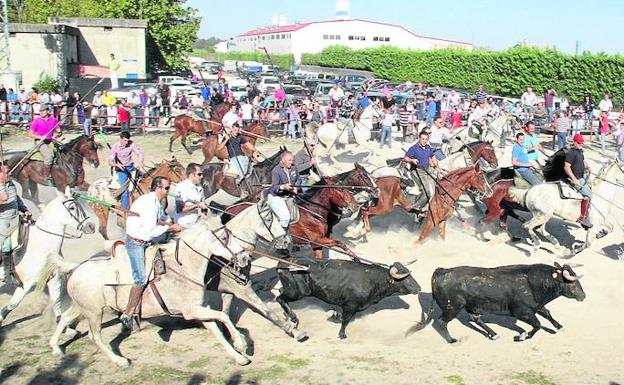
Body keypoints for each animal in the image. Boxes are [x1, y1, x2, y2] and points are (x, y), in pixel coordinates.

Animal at [0, 186, 95, 328]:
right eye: (72, 207)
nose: (91, 226)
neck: (41, 245)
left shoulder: (53, 278)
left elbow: (57, 303)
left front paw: (67, 328)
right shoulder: (25, 284)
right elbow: (12, 305)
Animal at [45, 219, 254, 366]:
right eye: (225, 238)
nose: (245, 257)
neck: (183, 268)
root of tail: (76, 268)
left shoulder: (200, 309)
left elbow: (217, 330)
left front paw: (239, 357)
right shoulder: (191, 310)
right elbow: (223, 317)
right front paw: (241, 343)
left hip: (82, 307)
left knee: (65, 317)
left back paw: (55, 347)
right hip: (93, 312)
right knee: (94, 336)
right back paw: (120, 361)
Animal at [276, 260, 420, 338]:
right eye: (405, 278)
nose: (419, 288)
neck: (373, 280)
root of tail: (283, 264)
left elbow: (344, 318)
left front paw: (333, 316)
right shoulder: (350, 306)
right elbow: (345, 320)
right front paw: (342, 334)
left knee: (280, 292)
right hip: (297, 292)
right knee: (279, 297)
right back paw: (293, 317)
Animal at [408, 260, 588, 342]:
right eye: (573, 283)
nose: (583, 296)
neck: (535, 282)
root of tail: (441, 271)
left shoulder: (536, 306)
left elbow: (548, 314)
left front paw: (559, 327)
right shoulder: (523, 313)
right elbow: (537, 325)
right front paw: (522, 336)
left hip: (470, 306)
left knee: (475, 318)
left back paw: (493, 334)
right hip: (453, 307)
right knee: (441, 321)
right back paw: (453, 340)